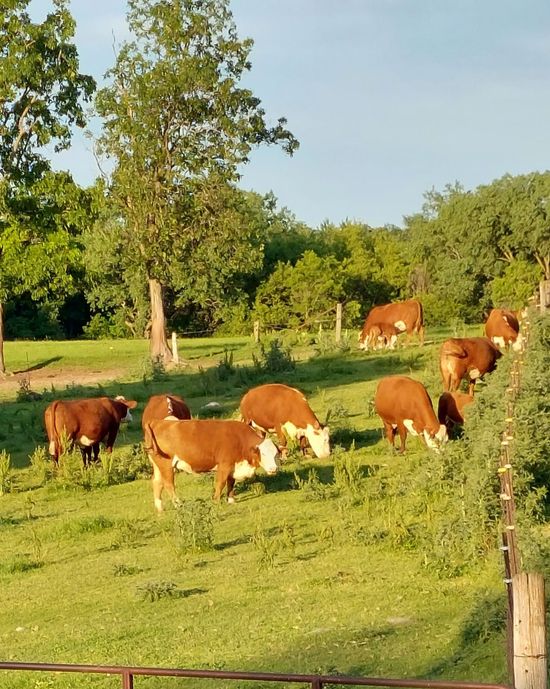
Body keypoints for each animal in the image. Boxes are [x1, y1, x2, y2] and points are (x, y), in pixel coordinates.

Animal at [144, 418, 279, 511]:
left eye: (275, 454)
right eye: (263, 454)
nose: (273, 469)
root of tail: (156, 422)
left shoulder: (233, 466)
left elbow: (231, 482)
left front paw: (231, 500)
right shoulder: (224, 465)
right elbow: (221, 483)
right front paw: (216, 501)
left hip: (158, 465)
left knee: (157, 482)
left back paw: (160, 508)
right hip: (166, 465)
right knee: (168, 484)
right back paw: (178, 504)